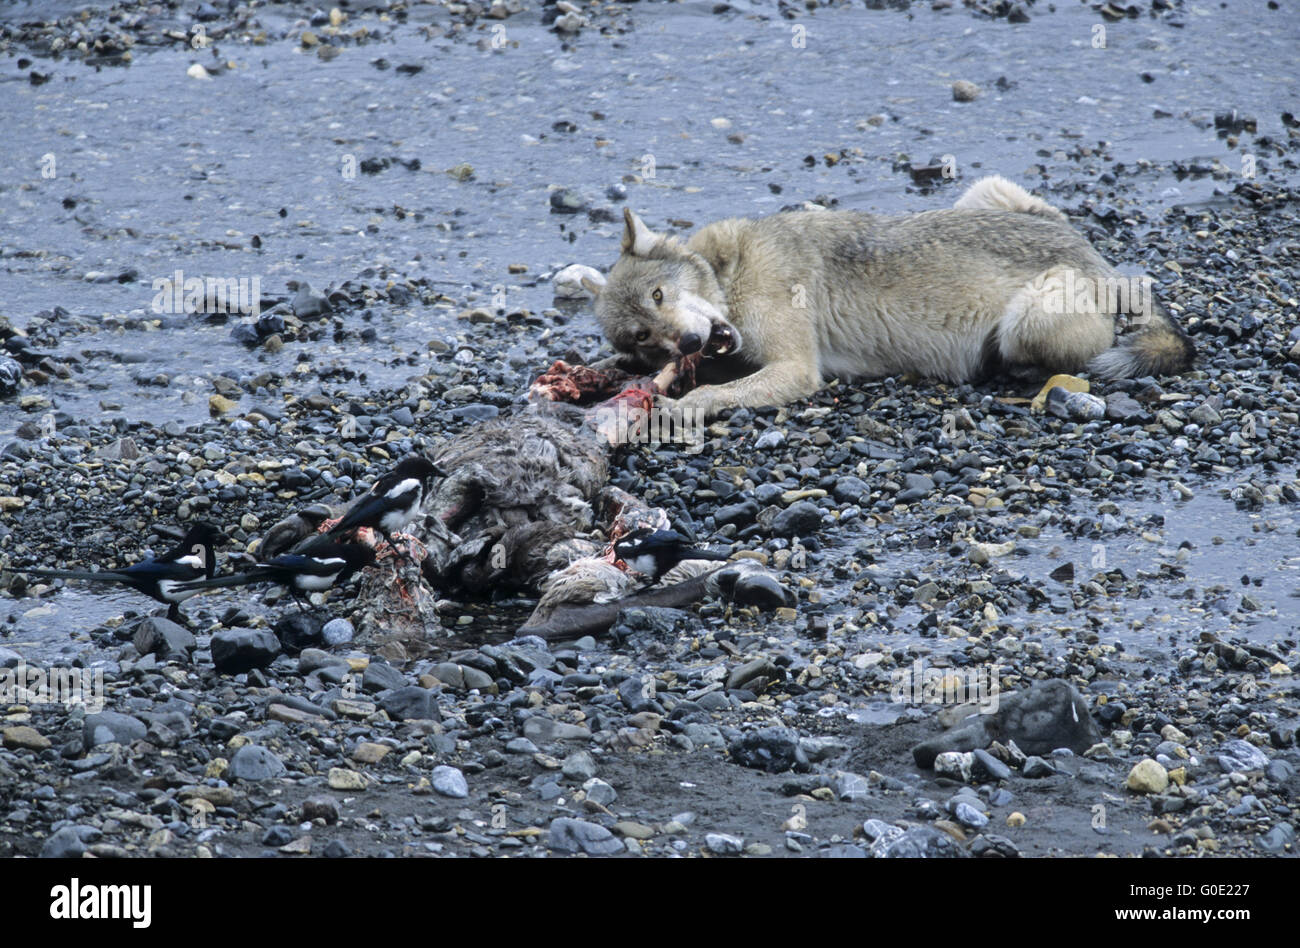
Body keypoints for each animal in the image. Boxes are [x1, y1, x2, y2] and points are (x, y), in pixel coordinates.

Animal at [580, 176, 1194, 419]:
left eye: (660, 293)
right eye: (643, 337)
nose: (687, 342)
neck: (734, 269)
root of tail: (1103, 264)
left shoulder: (796, 370)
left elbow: (711, 395)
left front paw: (676, 408)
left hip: (1029, 318)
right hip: (981, 194)